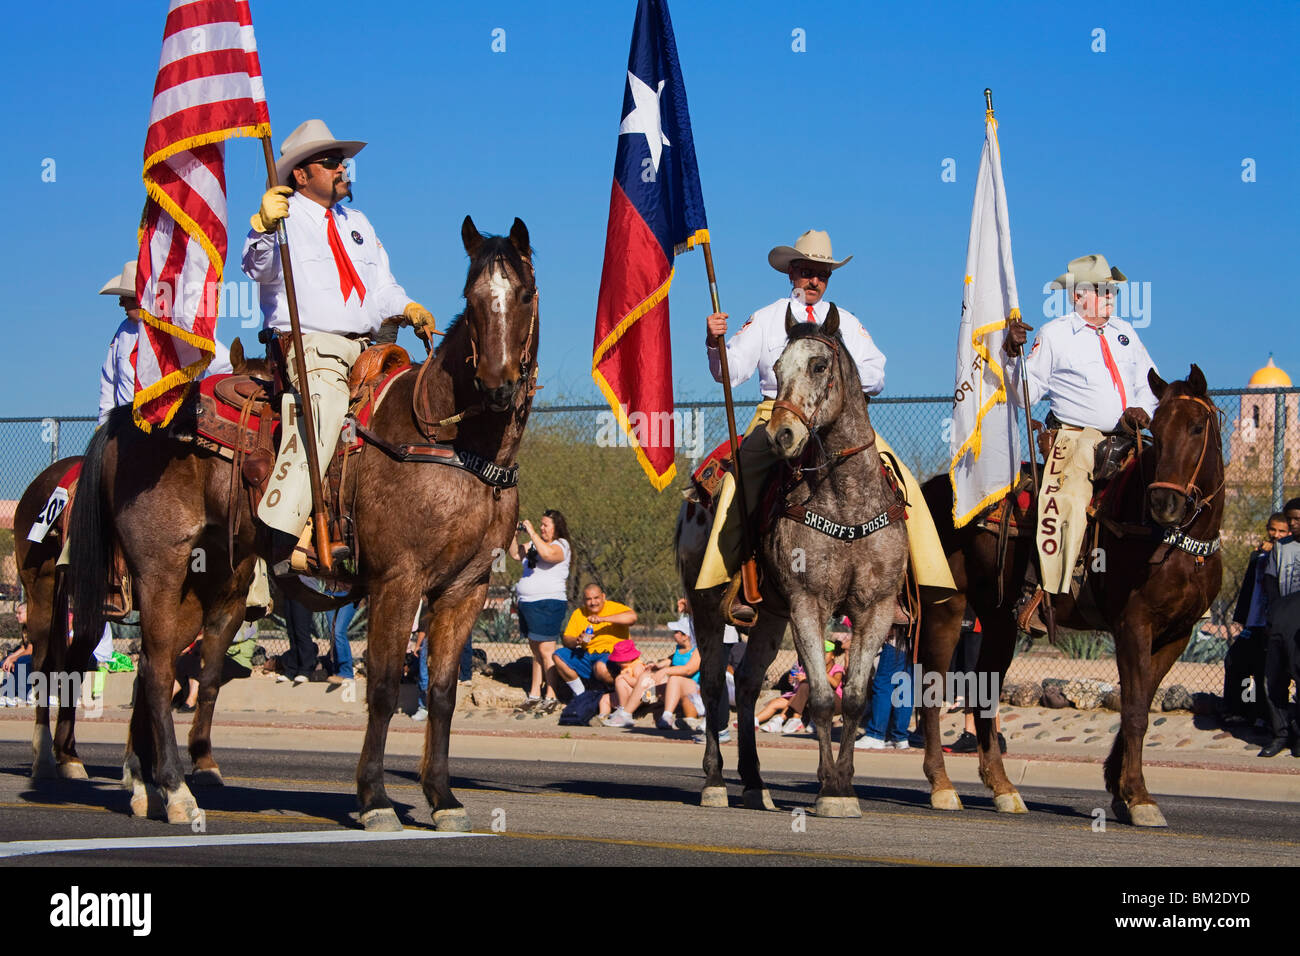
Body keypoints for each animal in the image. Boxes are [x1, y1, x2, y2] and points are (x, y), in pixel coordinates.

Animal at [69, 217, 538, 832]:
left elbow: (441, 693)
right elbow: (383, 688)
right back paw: (175, 791)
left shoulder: (467, 588)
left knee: (157, 662)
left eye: (524, 295)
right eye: (473, 297)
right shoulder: (398, 581)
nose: (496, 386)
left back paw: (145, 787)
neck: (449, 442)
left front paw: (443, 799)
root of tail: (128, 417)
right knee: (155, 673)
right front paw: (375, 799)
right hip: (159, 567)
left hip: (205, 577)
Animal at [676, 310, 909, 816]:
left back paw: (754, 782)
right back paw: (715, 782)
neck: (845, 501)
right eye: (778, 368)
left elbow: (854, 699)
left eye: (820, 365)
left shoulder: (876, 607)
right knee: (712, 684)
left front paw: (845, 785)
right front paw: (828, 789)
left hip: (768, 614)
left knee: (745, 683)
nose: (782, 435)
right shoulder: (808, 603)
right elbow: (821, 698)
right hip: (705, 606)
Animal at [915, 361, 1216, 827]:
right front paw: (1139, 797)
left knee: (985, 698)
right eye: (1160, 431)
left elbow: (1143, 702)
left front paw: (1120, 789)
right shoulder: (1133, 625)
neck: (1176, 545)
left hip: (997, 622)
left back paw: (1003, 789)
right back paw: (942, 786)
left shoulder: (1176, 634)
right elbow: (1134, 710)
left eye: (1198, 427)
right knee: (931, 689)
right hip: (947, 609)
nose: (1165, 503)